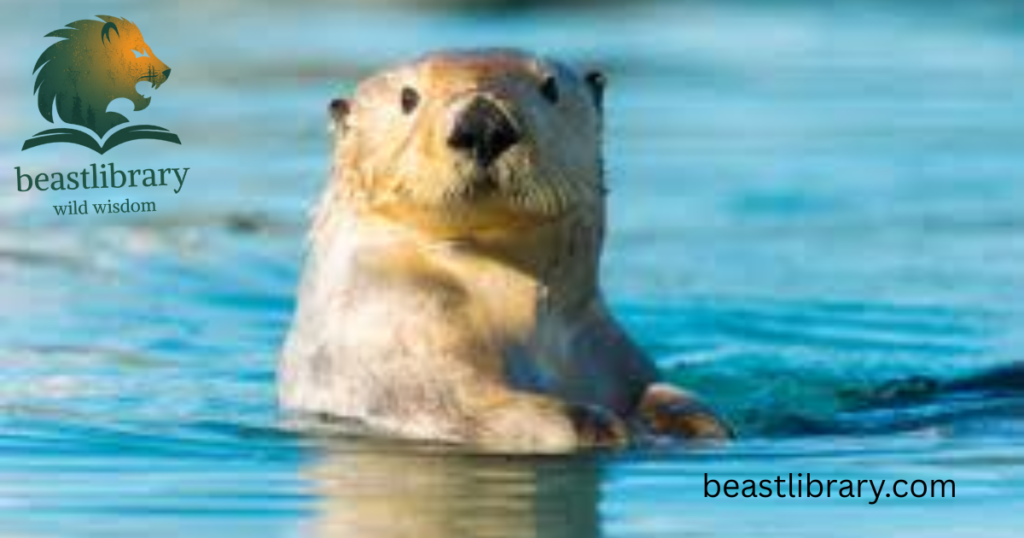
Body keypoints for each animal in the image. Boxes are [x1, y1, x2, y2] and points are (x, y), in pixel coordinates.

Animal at [280, 49, 731, 452]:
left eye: (550, 87)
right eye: (408, 98)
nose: (483, 125)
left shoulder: (602, 342)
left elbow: (654, 388)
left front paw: (691, 419)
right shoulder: (401, 331)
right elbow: (462, 401)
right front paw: (597, 423)